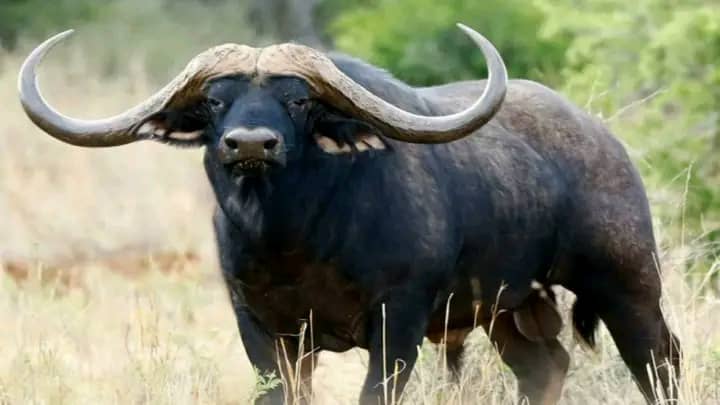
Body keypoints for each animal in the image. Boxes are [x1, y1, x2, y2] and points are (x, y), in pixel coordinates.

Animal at [18, 25, 680, 405]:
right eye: (214, 101)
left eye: (297, 99)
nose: (251, 144)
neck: (296, 242)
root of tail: (604, 139)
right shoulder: (264, 329)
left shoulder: (399, 321)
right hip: (509, 308)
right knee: (544, 365)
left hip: (626, 282)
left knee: (658, 361)